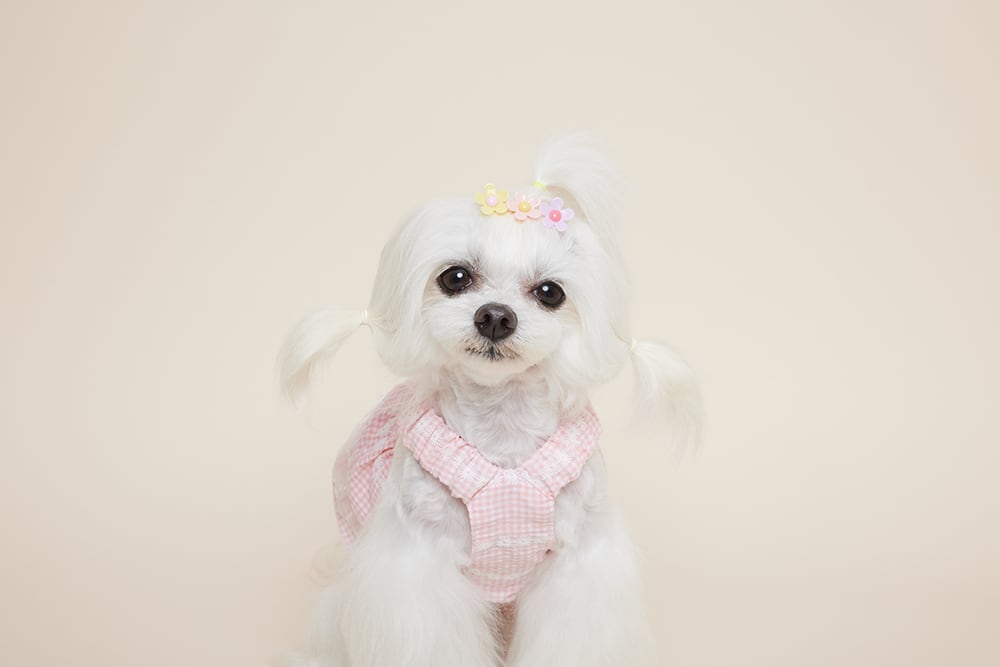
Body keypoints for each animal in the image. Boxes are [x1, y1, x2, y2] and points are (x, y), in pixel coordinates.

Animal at [280, 136, 700, 666]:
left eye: (550, 292)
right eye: (456, 277)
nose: (496, 316)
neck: (503, 426)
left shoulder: (578, 566)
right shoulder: (417, 573)